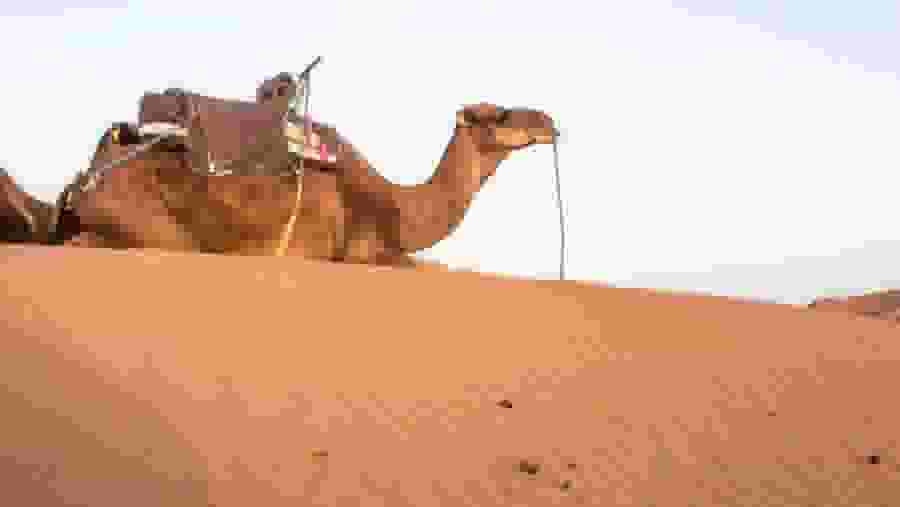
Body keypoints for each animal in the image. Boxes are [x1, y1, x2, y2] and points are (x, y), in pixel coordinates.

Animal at [55, 99, 557, 266]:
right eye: (498, 114)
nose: (549, 122)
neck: (397, 204)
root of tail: (84, 179)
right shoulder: (360, 250)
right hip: (155, 229)